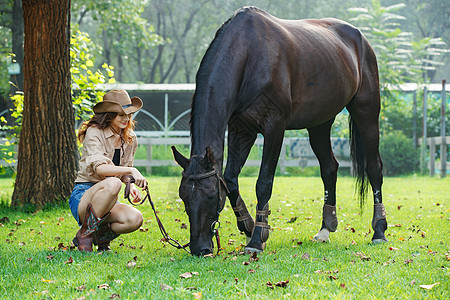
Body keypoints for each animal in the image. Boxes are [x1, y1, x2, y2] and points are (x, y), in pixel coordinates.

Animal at [171, 6, 388, 255]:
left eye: (210, 196)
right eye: (183, 196)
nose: (199, 248)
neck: (250, 55)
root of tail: (361, 39)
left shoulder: (274, 128)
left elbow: (264, 182)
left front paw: (257, 239)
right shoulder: (241, 130)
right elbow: (231, 179)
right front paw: (249, 226)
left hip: (367, 112)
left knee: (374, 168)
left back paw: (379, 230)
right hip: (319, 123)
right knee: (329, 168)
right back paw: (325, 228)